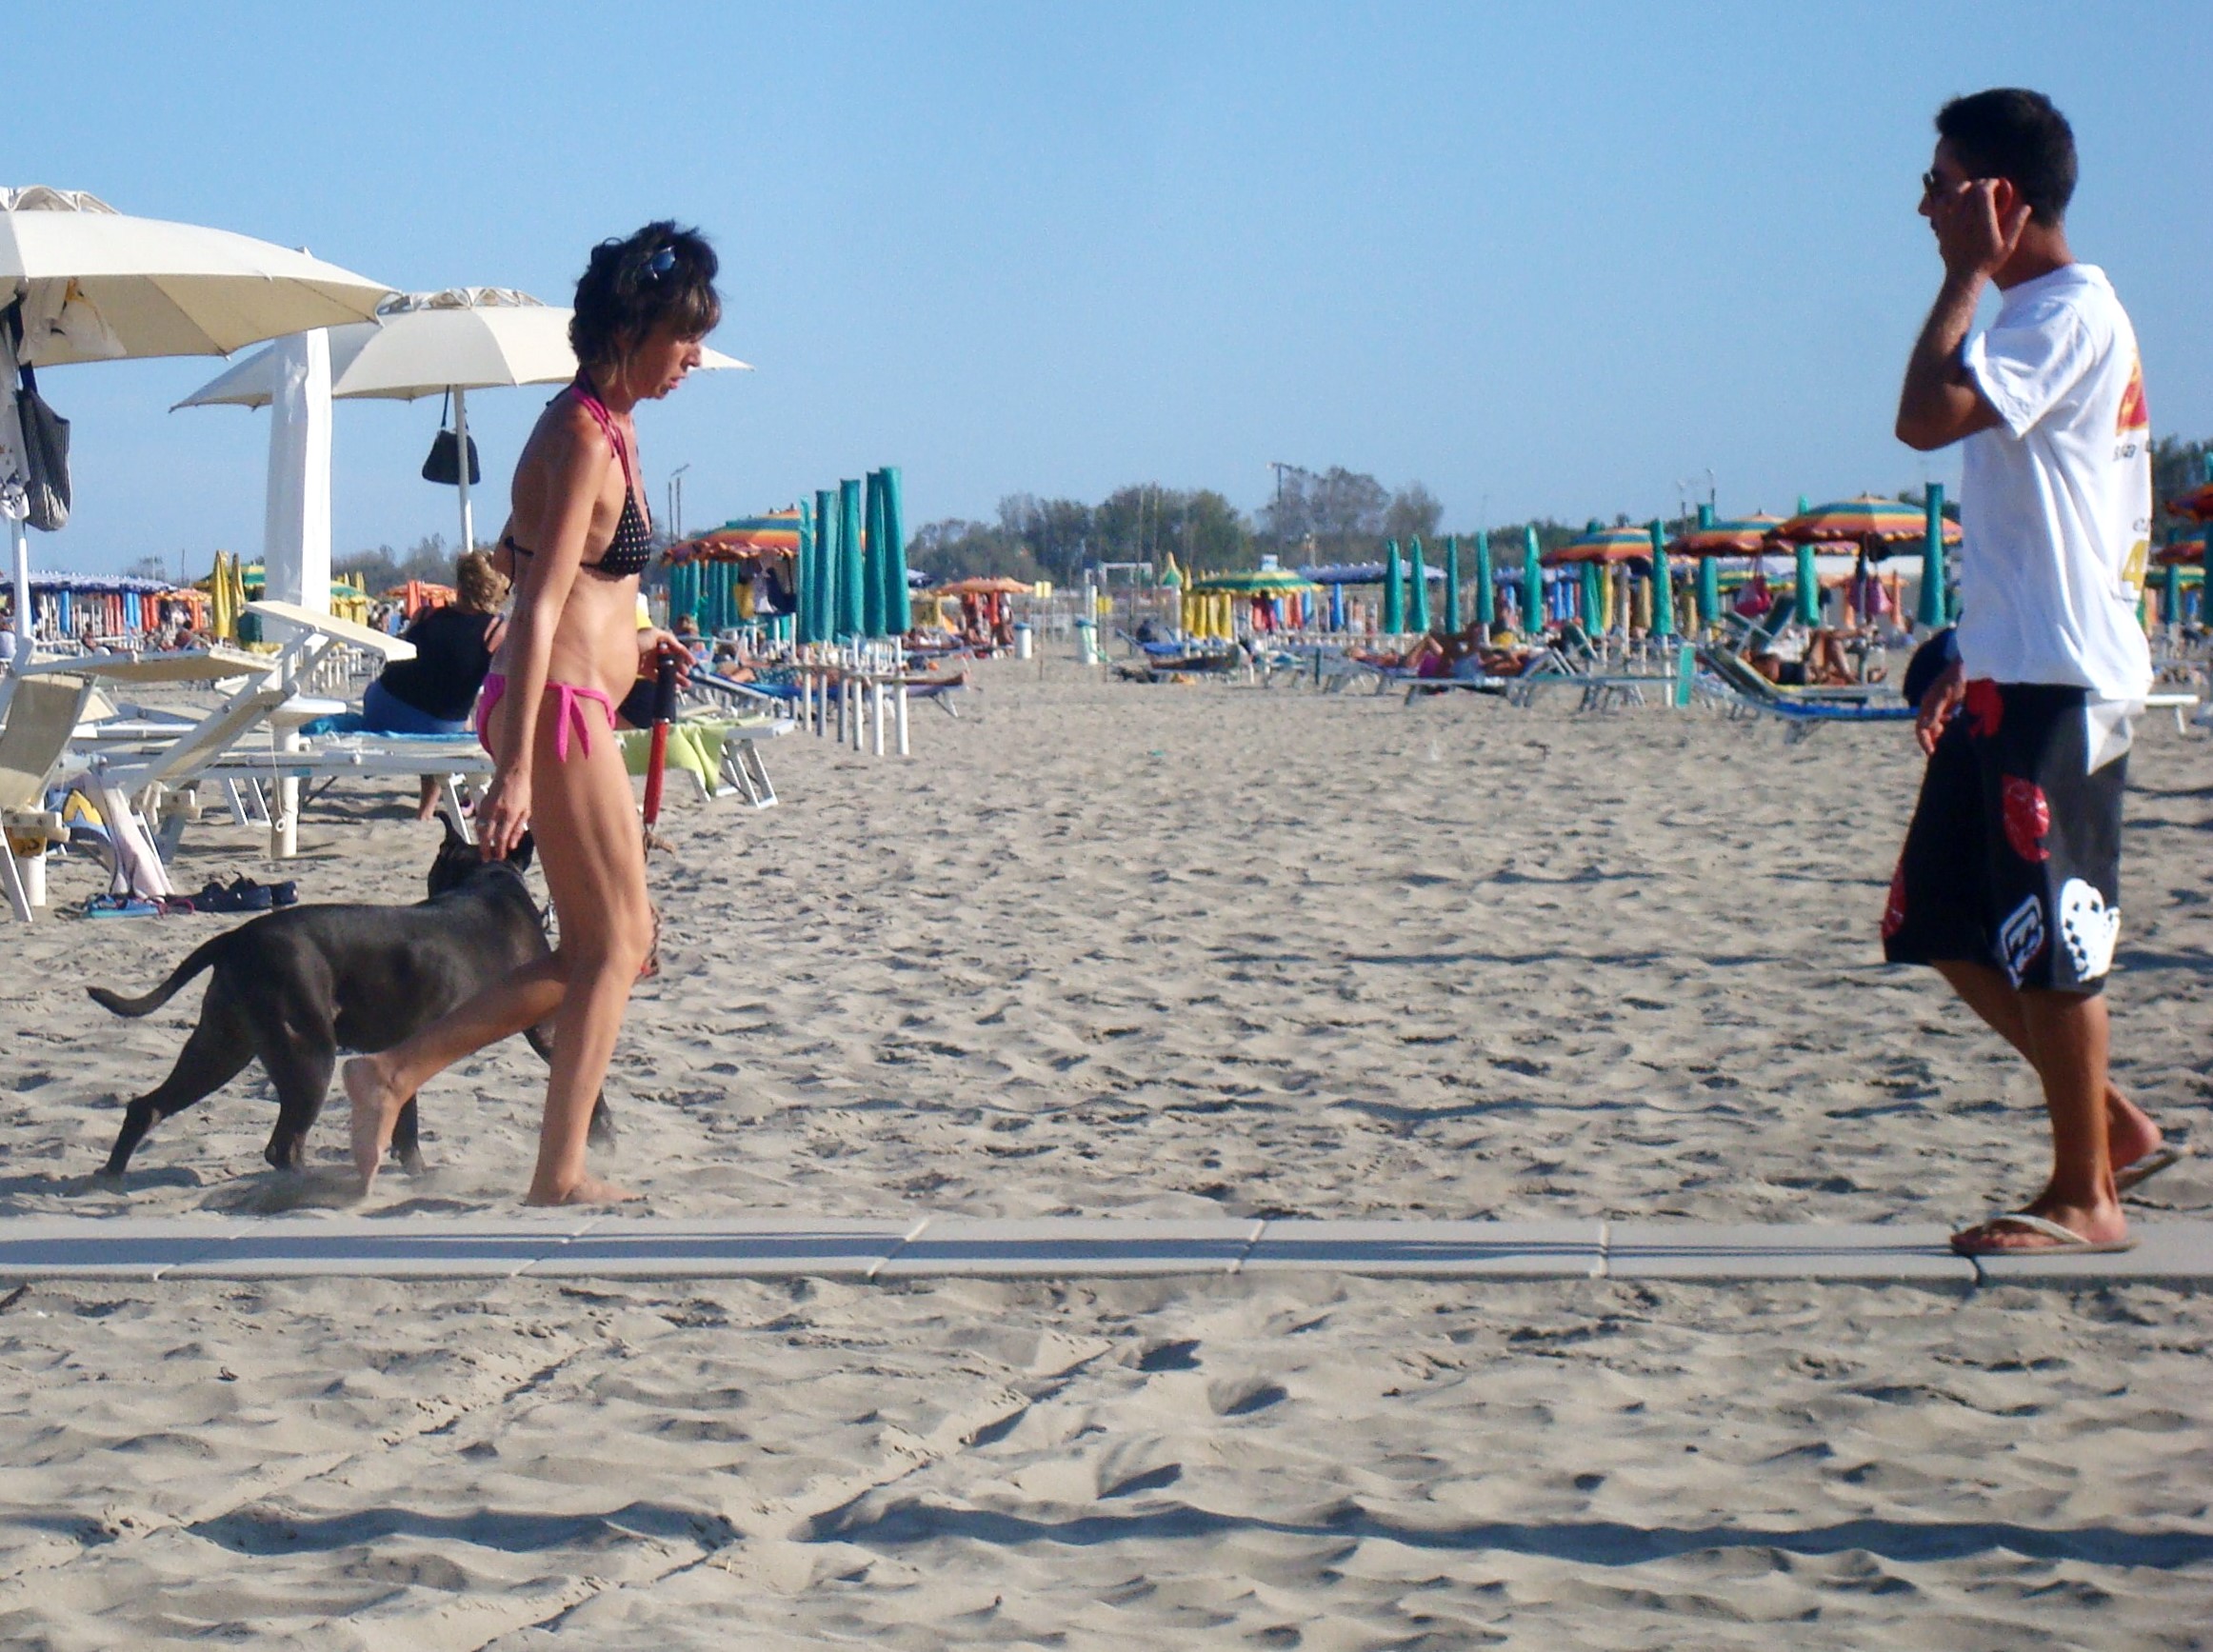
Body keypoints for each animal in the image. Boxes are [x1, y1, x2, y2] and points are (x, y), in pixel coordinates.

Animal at [88, 823, 613, 1182]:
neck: (489, 880)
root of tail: (237, 937)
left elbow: (406, 1124)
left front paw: (413, 1168)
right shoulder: (547, 1029)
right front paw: (602, 1132)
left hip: (220, 1047)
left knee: (147, 1107)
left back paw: (110, 1177)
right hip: (306, 1056)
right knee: (283, 1147)